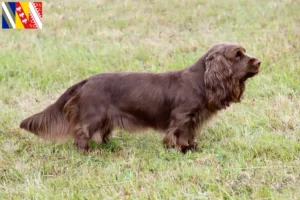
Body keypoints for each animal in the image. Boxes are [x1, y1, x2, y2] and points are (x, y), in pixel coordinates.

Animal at [20, 43, 260, 152]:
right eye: (238, 55)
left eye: (244, 52)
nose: (259, 62)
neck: (201, 81)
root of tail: (85, 81)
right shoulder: (182, 116)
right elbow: (180, 133)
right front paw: (182, 149)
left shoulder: (194, 119)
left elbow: (190, 133)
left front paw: (191, 146)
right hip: (93, 115)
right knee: (81, 132)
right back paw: (87, 152)